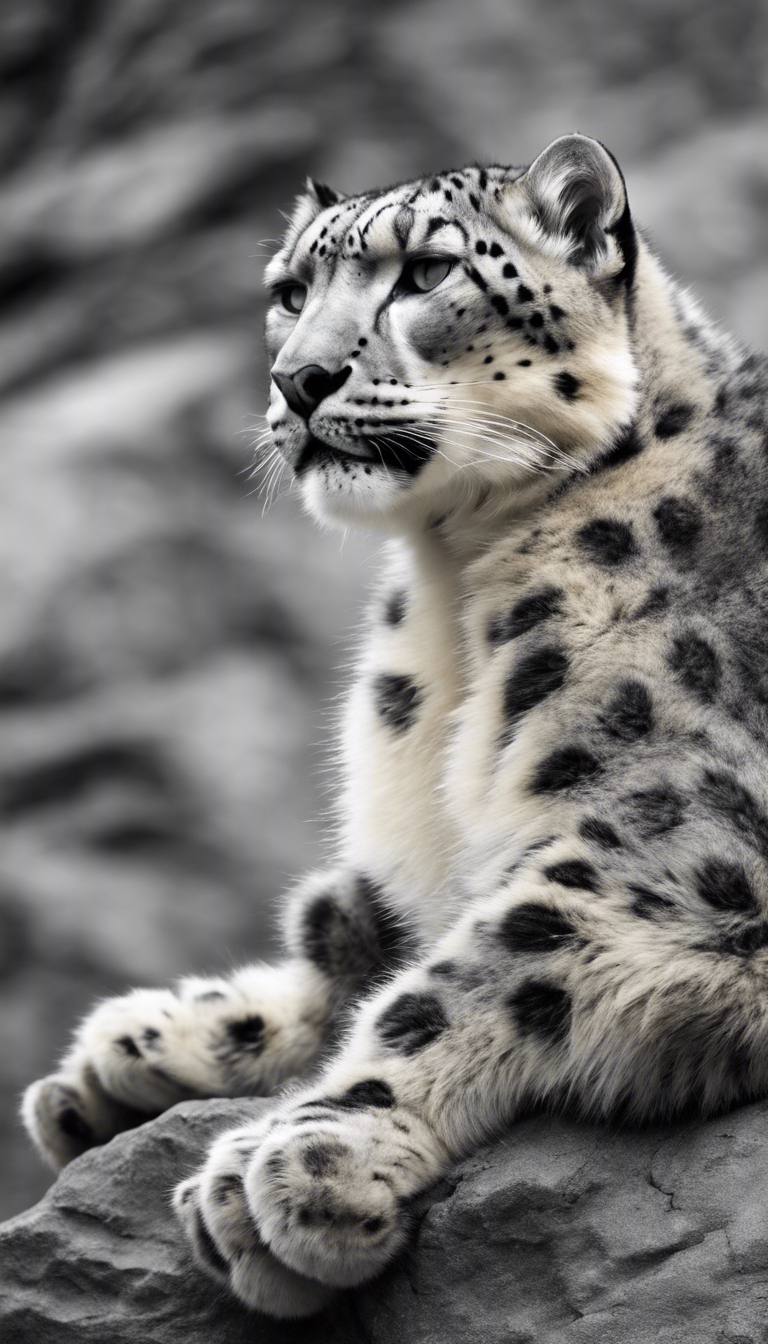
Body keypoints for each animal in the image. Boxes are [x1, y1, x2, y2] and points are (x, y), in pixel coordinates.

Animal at [22, 133, 768, 1319]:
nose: (299, 379)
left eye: (425, 272)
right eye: (288, 292)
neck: (450, 586)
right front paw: (139, 1049)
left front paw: (303, 1160)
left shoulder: (675, 849)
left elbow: (474, 969)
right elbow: (347, 931)